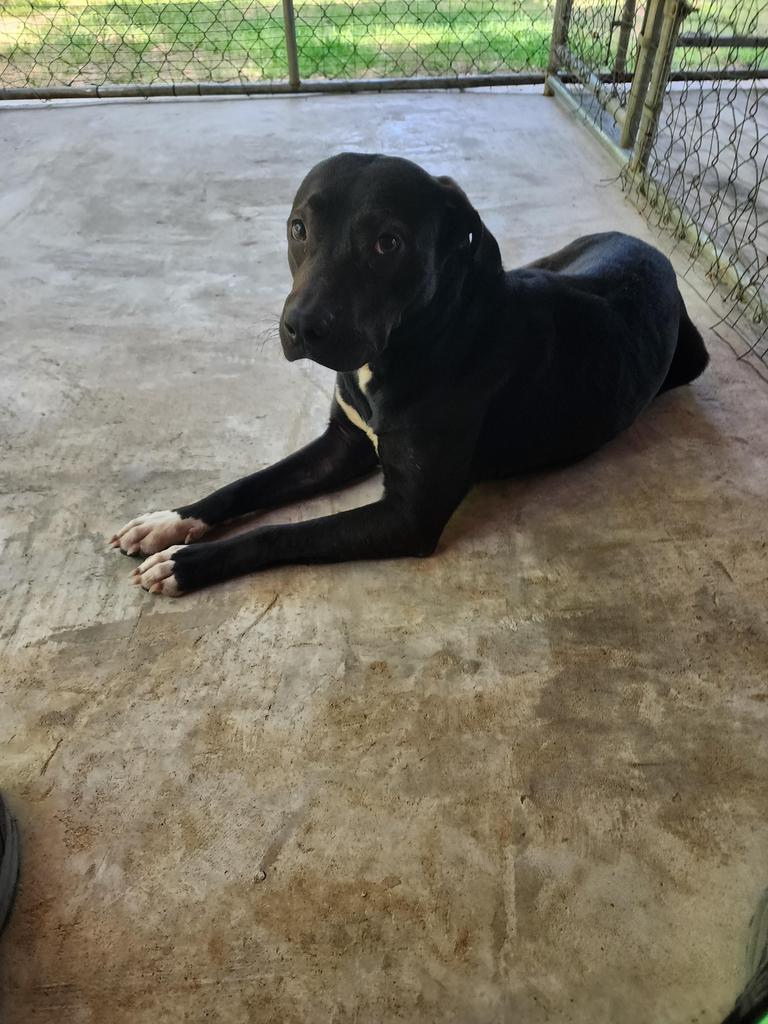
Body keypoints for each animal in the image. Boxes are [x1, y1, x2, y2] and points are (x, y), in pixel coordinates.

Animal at [109, 154, 708, 598]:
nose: (300, 327)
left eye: (388, 242)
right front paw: (170, 521)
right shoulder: (343, 443)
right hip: (549, 262)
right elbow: (248, 484)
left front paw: (185, 563)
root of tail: (649, 247)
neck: (413, 342)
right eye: (299, 228)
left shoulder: (407, 514)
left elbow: (282, 532)